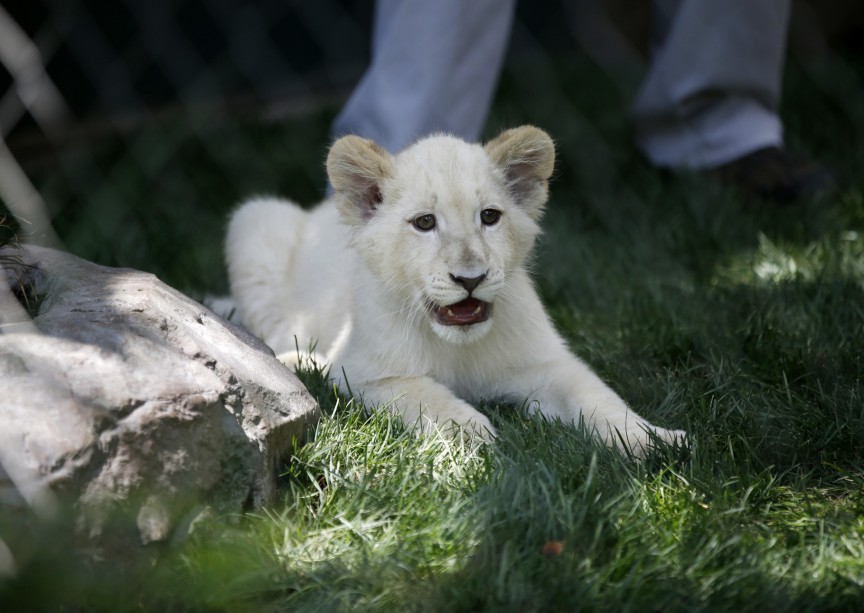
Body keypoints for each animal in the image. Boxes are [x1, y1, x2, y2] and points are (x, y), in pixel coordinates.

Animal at [224, 126, 684, 456]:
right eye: (425, 222)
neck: (458, 346)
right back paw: (293, 362)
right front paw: (477, 436)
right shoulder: (364, 373)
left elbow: (599, 397)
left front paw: (652, 439)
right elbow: (428, 397)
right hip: (254, 220)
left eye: (489, 216)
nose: (471, 279)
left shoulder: (546, 363)